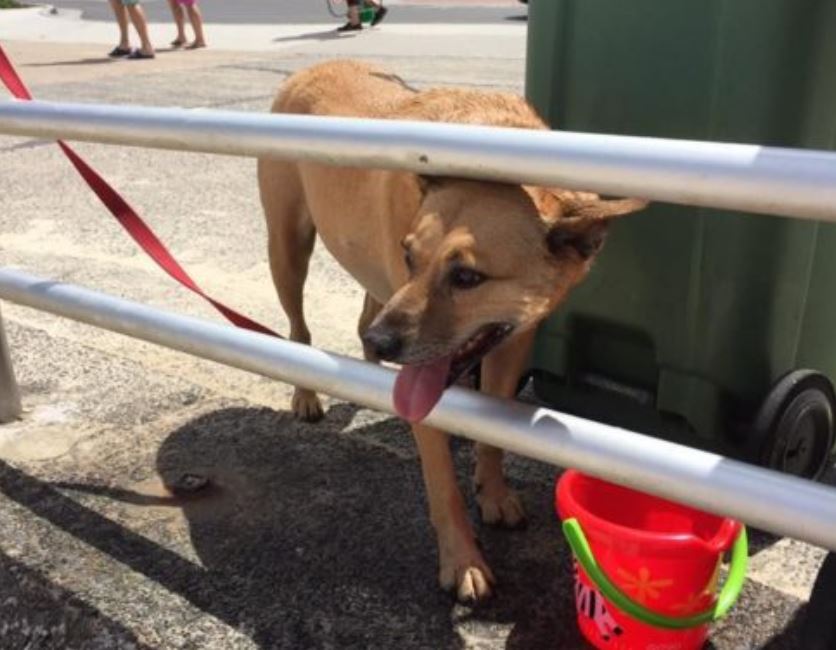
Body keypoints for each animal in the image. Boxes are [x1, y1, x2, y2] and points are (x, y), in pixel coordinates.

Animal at [258, 59, 648, 596]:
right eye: (410, 256)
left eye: (467, 277)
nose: (385, 341)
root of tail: (314, 67)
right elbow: (443, 485)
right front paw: (463, 561)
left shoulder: (513, 342)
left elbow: (492, 433)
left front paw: (494, 493)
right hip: (288, 247)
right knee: (299, 328)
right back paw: (308, 393)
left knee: (361, 316)